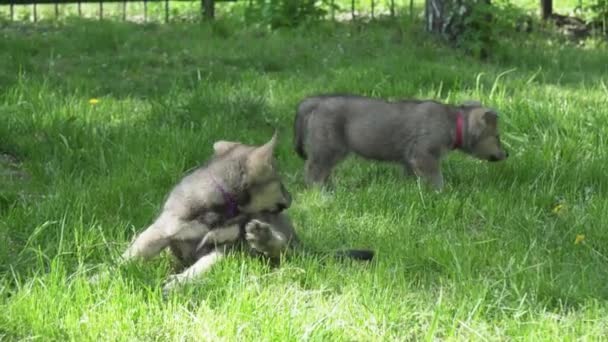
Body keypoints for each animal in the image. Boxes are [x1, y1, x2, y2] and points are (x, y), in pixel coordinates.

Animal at [294, 94, 508, 190]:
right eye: (497, 137)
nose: (507, 154)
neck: (454, 123)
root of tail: (317, 102)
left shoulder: (410, 159)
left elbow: (412, 176)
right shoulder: (424, 155)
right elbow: (436, 178)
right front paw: (441, 193)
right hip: (329, 148)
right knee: (313, 169)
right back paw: (320, 191)